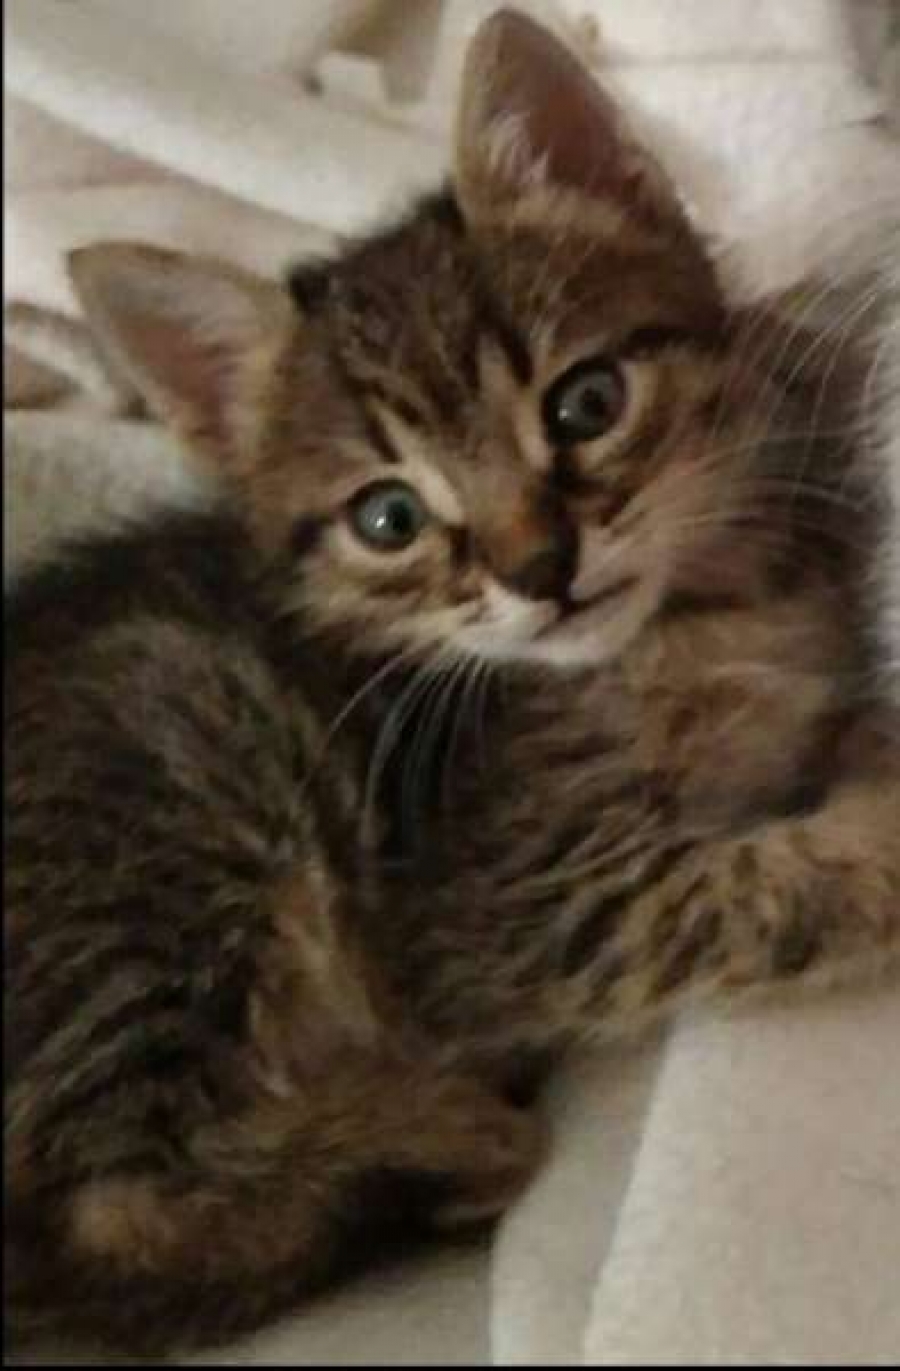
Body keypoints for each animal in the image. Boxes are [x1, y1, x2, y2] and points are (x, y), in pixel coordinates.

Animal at [6, 9, 899, 1358]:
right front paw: (884, 811)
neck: (685, 626)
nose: (543, 571)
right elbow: (761, 885)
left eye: (587, 405)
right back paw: (440, 1135)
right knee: (114, 1224)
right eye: (389, 518)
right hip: (178, 751)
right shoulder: (506, 900)